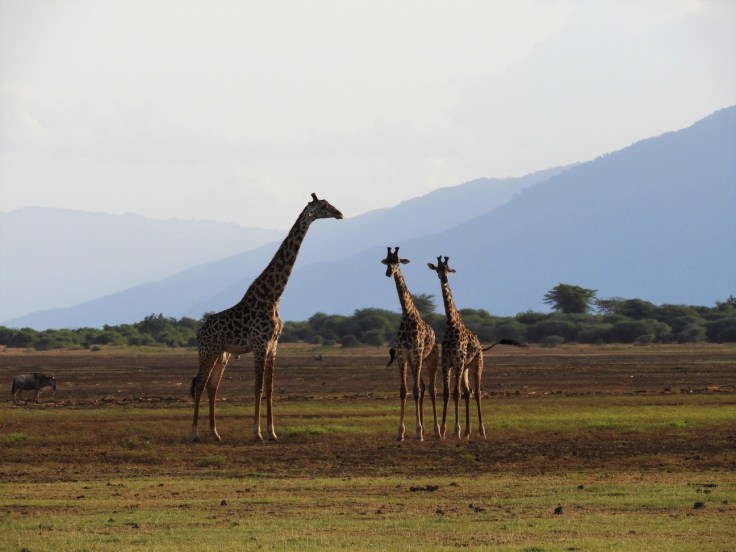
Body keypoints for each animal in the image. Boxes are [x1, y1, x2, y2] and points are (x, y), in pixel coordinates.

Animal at [191, 193, 343, 443]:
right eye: (323, 205)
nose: (340, 213)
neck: (273, 296)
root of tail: (199, 331)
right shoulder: (260, 343)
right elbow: (258, 387)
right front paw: (258, 433)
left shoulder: (273, 345)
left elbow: (270, 389)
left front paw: (272, 432)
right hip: (207, 350)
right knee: (200, 384)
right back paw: (194, 433)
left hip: (223, 353)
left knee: (213, 386)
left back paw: (215, 433)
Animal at [382, 246, 439, 441]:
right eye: (387, 260)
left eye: (398, 261)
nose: (389, 272)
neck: (408, 317)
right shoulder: (403, 356)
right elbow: (404, 391)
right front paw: (401, 432)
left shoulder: (415, 354)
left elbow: (414, 391)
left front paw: (419, 431)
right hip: (416, 362)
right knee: (422, 388)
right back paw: (423, 429)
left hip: (429, 360)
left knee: (431, 389)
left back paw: (437, 430)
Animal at [428, 255, 523, 440]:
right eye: (438, 269)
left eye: (448, 269)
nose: (444, 279)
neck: (451, 325)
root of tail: (480, 347)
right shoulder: (447, 363)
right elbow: (447, 393)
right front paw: (443, 431)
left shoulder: (457, 362)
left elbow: (455, 394)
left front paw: (455, 430)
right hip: (466, 367)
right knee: (468, 392)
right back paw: (467, 431)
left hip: (477, 364)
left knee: (476, 393)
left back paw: (481, 430)